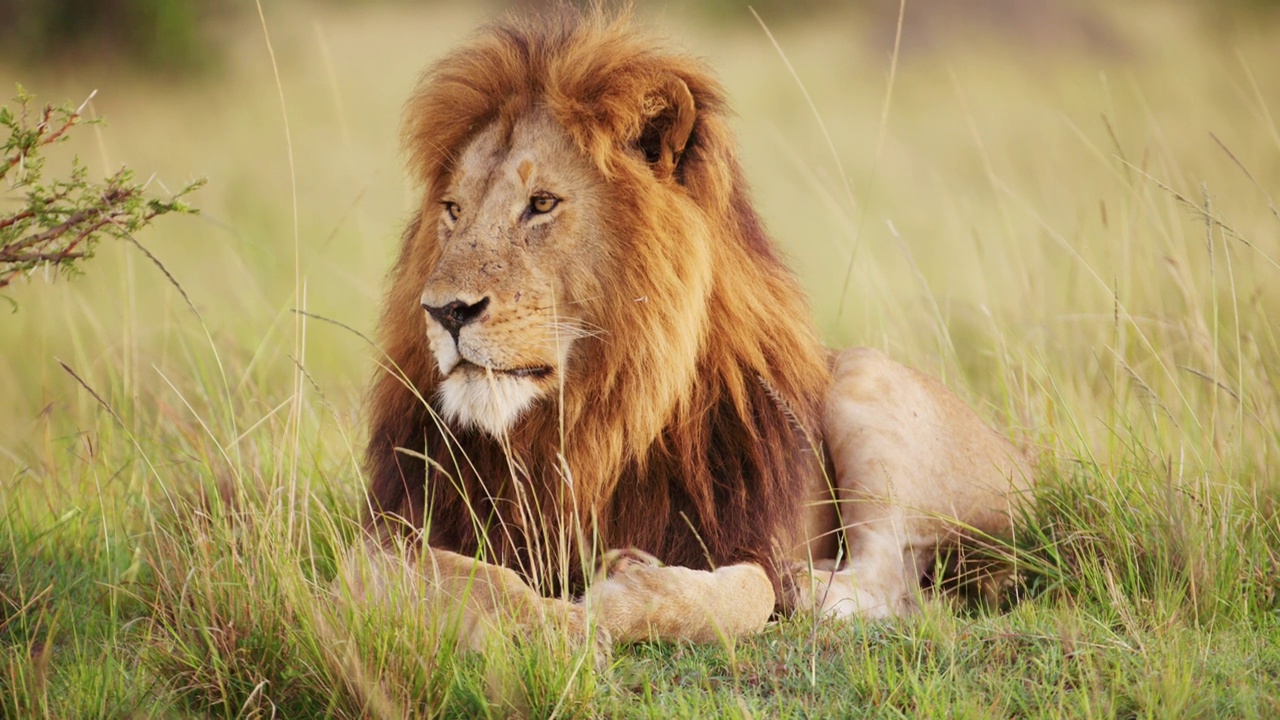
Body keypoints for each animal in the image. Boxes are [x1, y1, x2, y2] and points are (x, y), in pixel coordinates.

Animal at [355, 5, 1034, 645]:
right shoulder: (377, 542)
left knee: (891, 578)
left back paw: (806, 586)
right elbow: (468, 579)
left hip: (866, 378)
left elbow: (747, 591)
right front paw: (546, 625)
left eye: (542, 203)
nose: (444, 311)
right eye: (453, 210)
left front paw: (613, 594)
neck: (580, 421)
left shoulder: (741, 535)